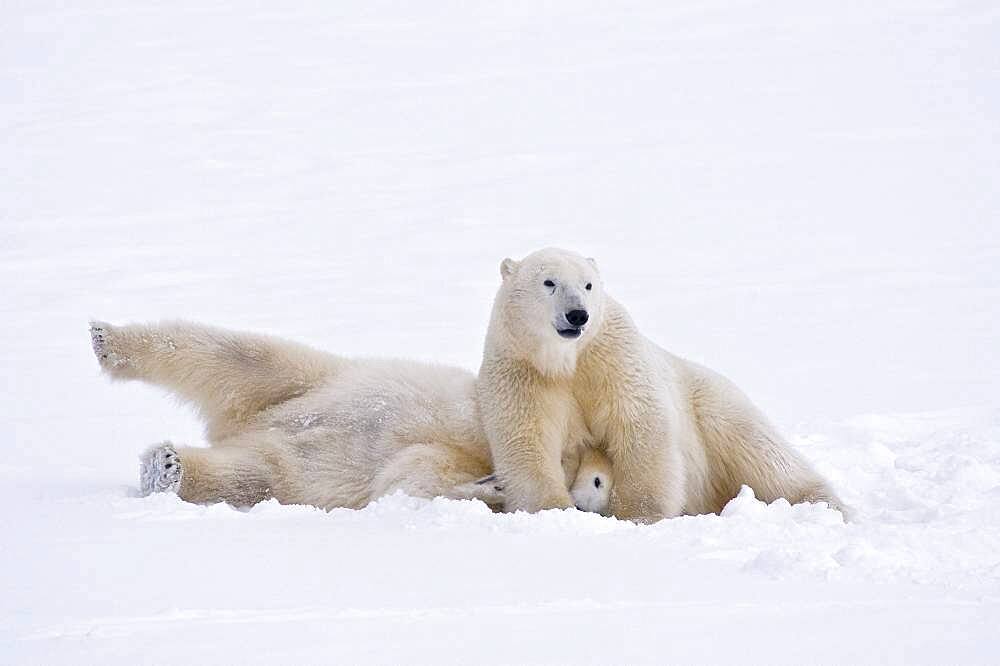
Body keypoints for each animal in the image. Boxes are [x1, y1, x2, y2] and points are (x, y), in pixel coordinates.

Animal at [90, 320, 612, 510]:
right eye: (601, 481)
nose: (592, 494)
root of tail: (245, 428)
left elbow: (409, 477)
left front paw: (491, 487)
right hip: (312, 380)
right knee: (238, 353)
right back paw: (109, 340)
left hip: (285, 467)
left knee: (247, 476)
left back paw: (166, 467)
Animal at [474, 246, 844, 520]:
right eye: (549, 282)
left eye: (588, 285)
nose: (578, 315)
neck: (565, 361)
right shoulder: (521, 369)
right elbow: (527, 437)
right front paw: (554, 510)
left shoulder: (612, 355)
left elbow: (639, 421)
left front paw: (639, 513)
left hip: (710, 404)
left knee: (761, 452)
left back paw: (823, 502)